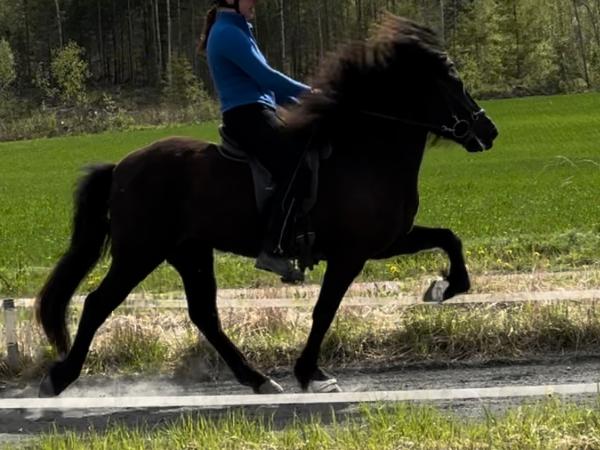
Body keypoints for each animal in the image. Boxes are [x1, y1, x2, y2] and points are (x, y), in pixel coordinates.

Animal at [36, 15, 498, 397]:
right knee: (98, 303)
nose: (488, 131)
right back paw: (58, 379)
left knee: (204, 315)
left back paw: (257, 379)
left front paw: (444, 288)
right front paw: (311, 373)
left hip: (189, 253)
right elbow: (324, 311)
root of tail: (121, 168)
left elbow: (449, 238)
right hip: (140, 252)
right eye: (453, 81)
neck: (366, 152)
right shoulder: (350, 254)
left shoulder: (385, 242)